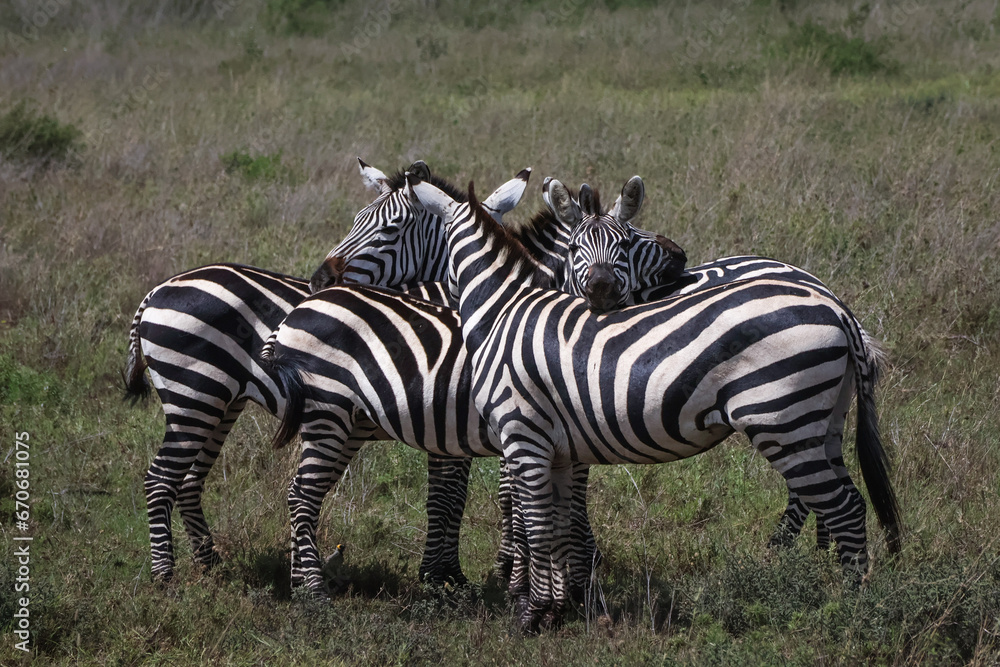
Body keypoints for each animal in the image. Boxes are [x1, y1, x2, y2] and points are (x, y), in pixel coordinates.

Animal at [123, 159, 499, 584]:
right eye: (356, 220)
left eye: (389, 229)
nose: (321, 280)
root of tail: (157, 290)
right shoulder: (449, 415)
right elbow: (452, 497)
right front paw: (447, 576)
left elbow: (455, 495)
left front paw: (448, 573)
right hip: (193, 394)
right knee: (160, 479)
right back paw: (165, 575)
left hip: (218, 400)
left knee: (187, 480)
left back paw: (209, 561)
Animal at [405, 172, 901, 632]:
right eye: (574, 248)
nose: (429, 298)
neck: (503, 310)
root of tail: (836, 307)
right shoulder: (558, 449)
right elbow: (558, 523)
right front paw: (559, 607)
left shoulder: (523, 436)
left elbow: (537, 523)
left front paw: (531, 613)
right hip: (821, 421)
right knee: (839, 502)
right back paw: (826, 582)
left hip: (784, 419)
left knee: (844, 508)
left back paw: (850, 608)